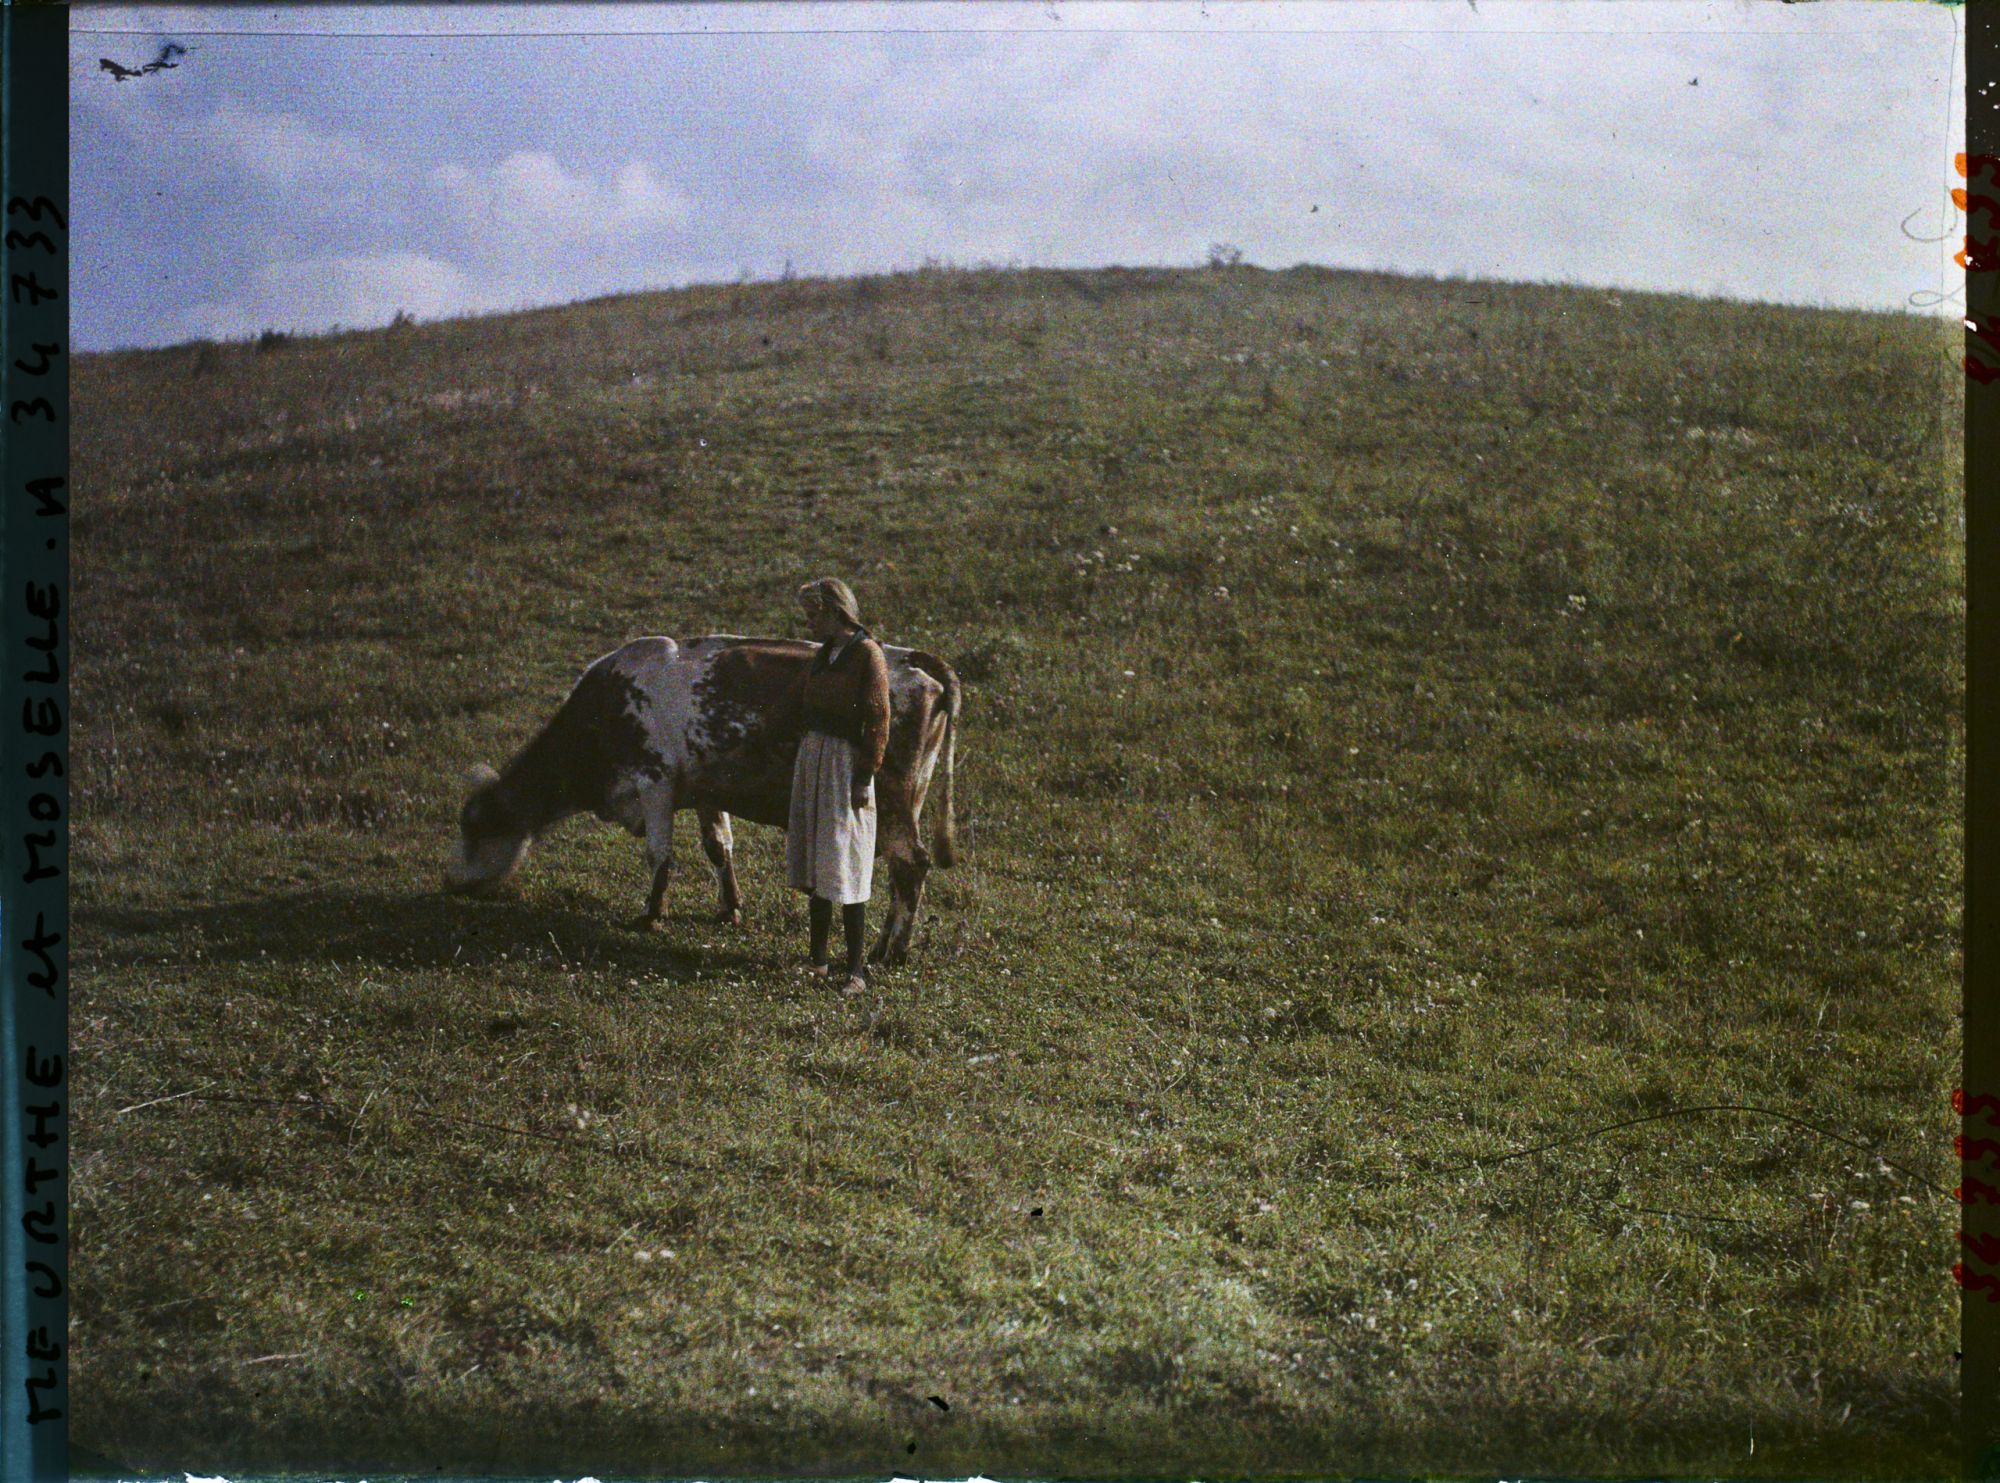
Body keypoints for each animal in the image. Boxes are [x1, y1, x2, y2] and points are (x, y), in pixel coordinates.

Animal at [447, 635, 960, 966]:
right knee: (899, 874)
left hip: (891, 802)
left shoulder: (654, 782)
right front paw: (729, 906)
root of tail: (914, 659)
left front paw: (651, 915)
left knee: (911, 865)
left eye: (474, 829)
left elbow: (660, 855)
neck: (609, 704)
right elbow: (718, 846)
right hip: (907, 802)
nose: (453, 883)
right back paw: (883, 945)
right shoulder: (706, 791)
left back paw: (891, 951)